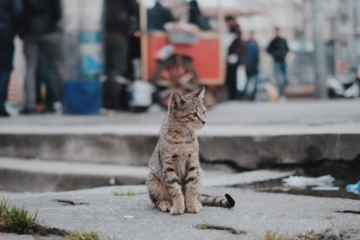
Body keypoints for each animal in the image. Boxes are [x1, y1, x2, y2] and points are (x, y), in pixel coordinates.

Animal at [145, 87, 235, 215]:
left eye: (204, 112)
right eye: (194, 114)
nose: (204, 121)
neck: (183, 136)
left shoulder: (193, 162)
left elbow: (191, 188)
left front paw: (191, 205)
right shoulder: (169, 165)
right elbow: (175, 189)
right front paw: (178, 207)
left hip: (200, 175)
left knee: (198, 194)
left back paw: (197, 202)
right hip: (153, 180)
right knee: (156, 200)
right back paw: (165, 203)